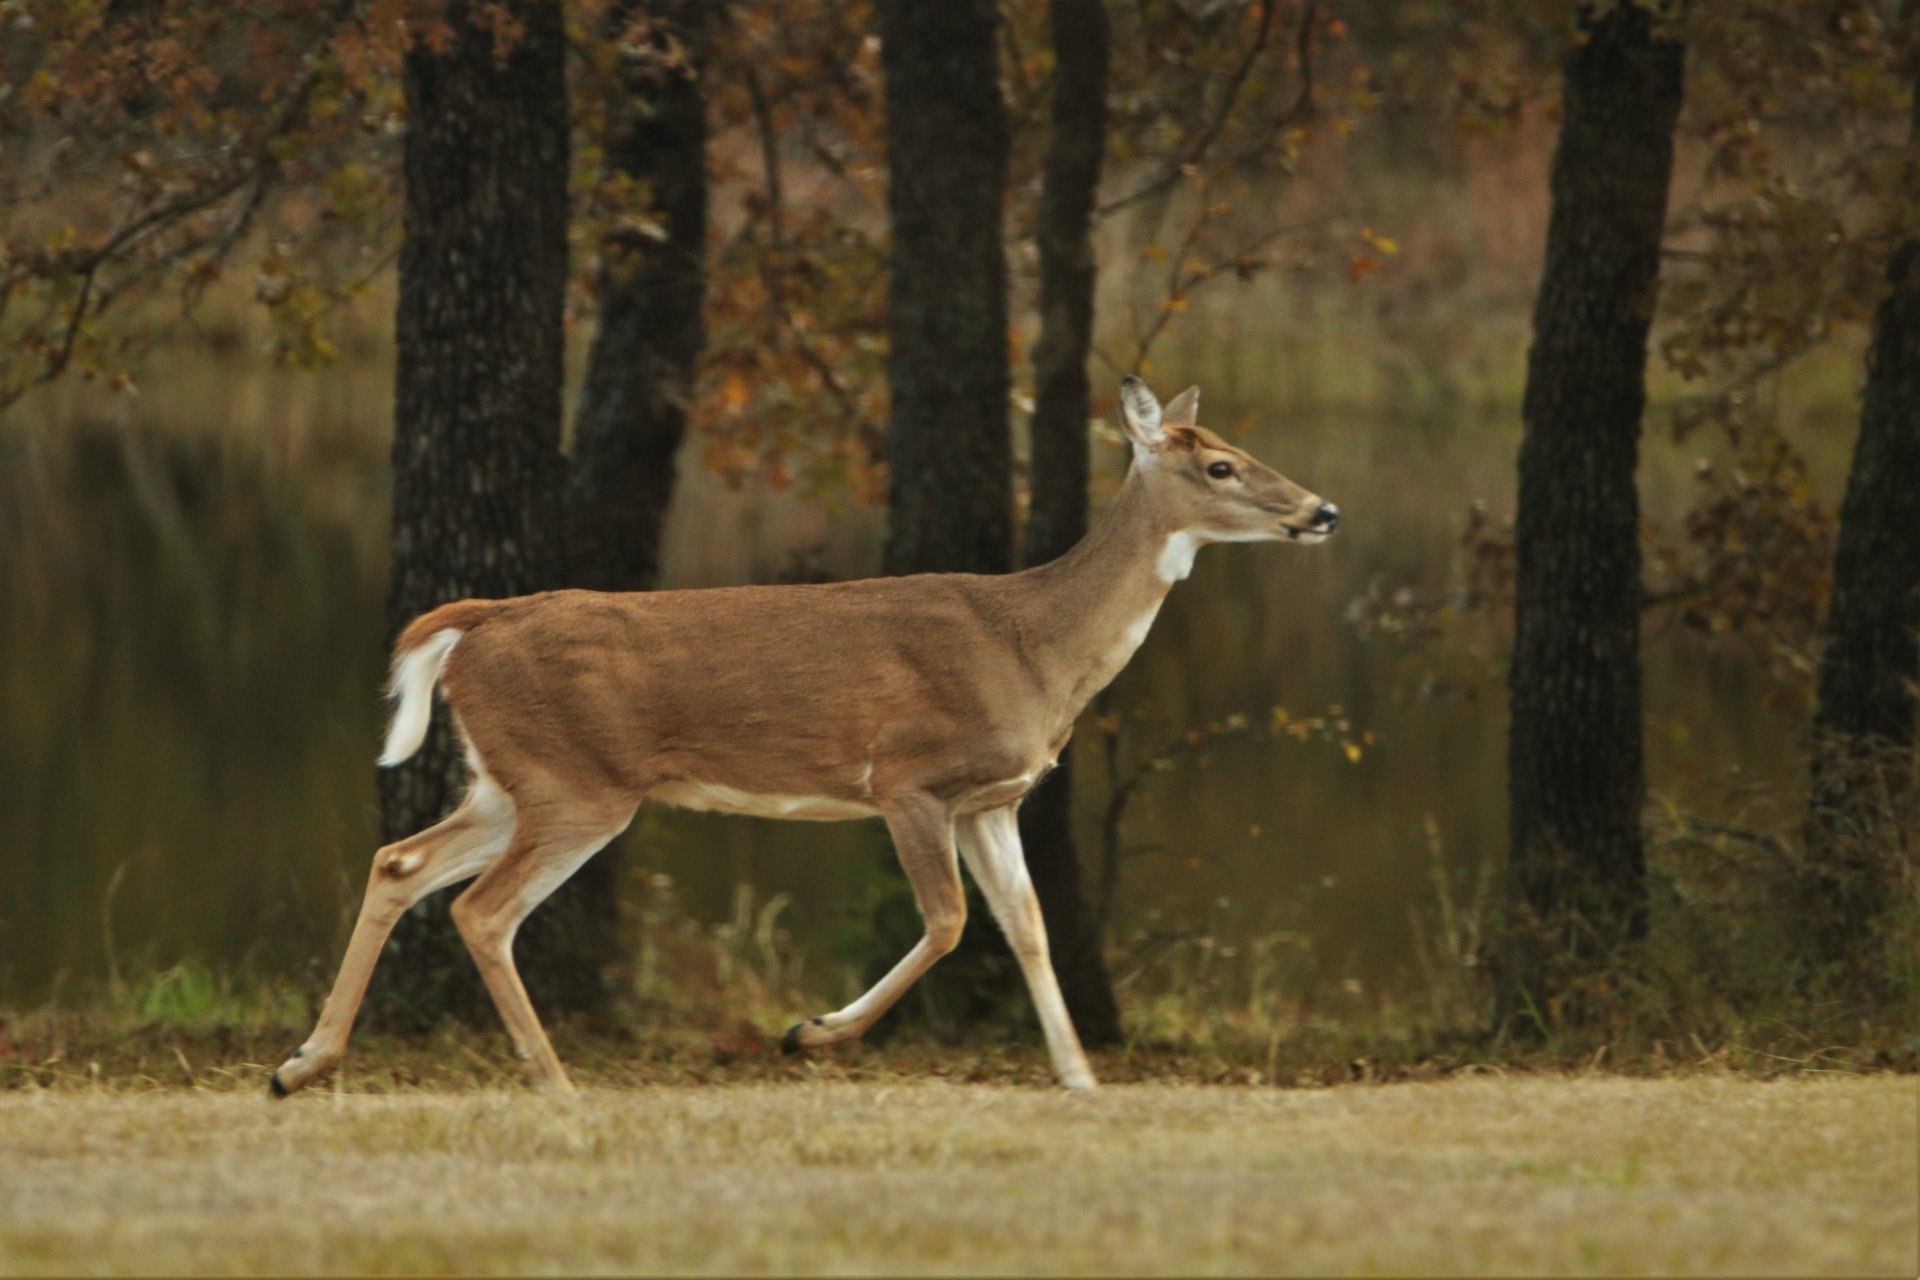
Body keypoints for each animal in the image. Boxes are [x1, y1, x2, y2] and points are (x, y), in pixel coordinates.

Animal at [270, 376, 1336, 1097]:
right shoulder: (909, 778)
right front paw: (808, 1032)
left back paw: (301, 1064)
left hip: (508, 780)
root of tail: (477, 624)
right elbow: (951, 921)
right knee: (483, 910)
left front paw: (1078, 1075)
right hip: (579, 784)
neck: (1035, 646)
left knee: (402, 862)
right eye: (1220, 464)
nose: (1322, 509)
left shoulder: (995, 798)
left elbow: (1027, 925)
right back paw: (555, 1081)